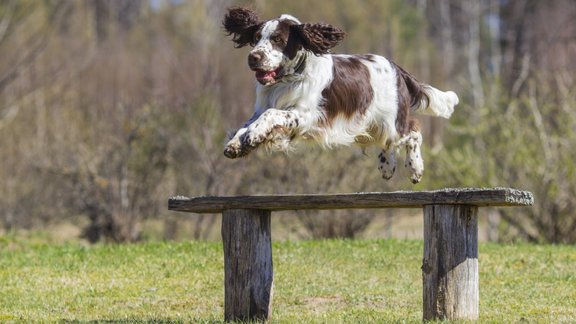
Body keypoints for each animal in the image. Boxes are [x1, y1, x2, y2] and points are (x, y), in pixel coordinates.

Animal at [222, 7, 460, 184]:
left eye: (277, 39)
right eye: (256, 38)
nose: (253, 57)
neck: (288, 79)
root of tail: (396, 68)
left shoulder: (305, 115)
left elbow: (271, 114)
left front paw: (253, 136)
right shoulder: (262, 108)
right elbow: (247, 124)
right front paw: (236, 144)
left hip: (392, 121)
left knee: (413, 131)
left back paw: (415, 168)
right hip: (374, 124)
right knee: (390, 142)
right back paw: (387, 165)